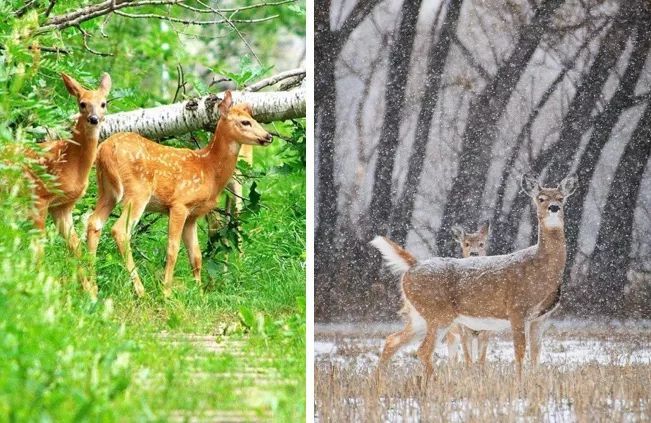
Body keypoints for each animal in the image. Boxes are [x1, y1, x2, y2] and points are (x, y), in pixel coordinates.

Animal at [27, 73, 112, 298]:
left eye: (103, 103)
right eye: (82, 103)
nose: (94, 119)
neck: (71, 164)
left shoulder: (63, 206)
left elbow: (76, 247)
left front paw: (90, 292)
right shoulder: (40, 196)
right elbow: (39, 245)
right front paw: (38, 283)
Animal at [85, 92, 272, 298]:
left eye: (254, 119)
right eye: (245, 122)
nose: (268, 136)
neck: (209, 168)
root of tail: (104, 150)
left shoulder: (192, 215)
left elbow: (196, 256)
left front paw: (199, 293)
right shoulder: (179, 204)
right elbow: (173, 250)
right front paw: (166, 292)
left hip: (107, 191)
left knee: (93, 223)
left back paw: (91, 287)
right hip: (137, 191)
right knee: (120, 231)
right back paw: (140, 290)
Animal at [446, 220, 492, 366]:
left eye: (481, 243)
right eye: (466, 244)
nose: (474, 253)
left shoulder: (486, 330)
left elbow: (481, 360)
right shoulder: (463, 329)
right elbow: (468, 361)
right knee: (451, 360)